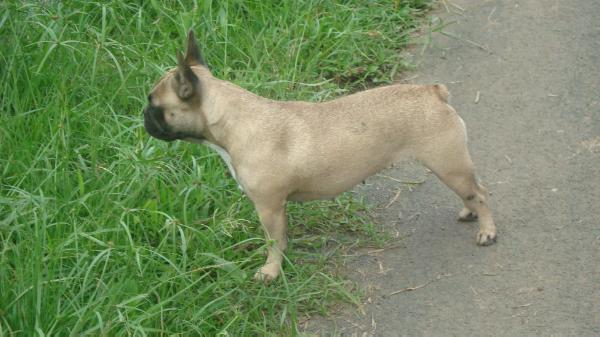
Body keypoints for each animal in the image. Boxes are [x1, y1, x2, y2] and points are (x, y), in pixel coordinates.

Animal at [144, 30, 496, 280]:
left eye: (155, 106)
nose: (143, 115)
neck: (232, 119)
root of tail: (433, 92)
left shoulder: (268, 207)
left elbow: (273, 242)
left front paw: (271, 271)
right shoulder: (276, 208)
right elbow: (282, 238)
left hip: (448, 162)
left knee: (479, 192)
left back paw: (487, 230)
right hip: (449, 165)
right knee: (471, 192)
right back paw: (470, 213)